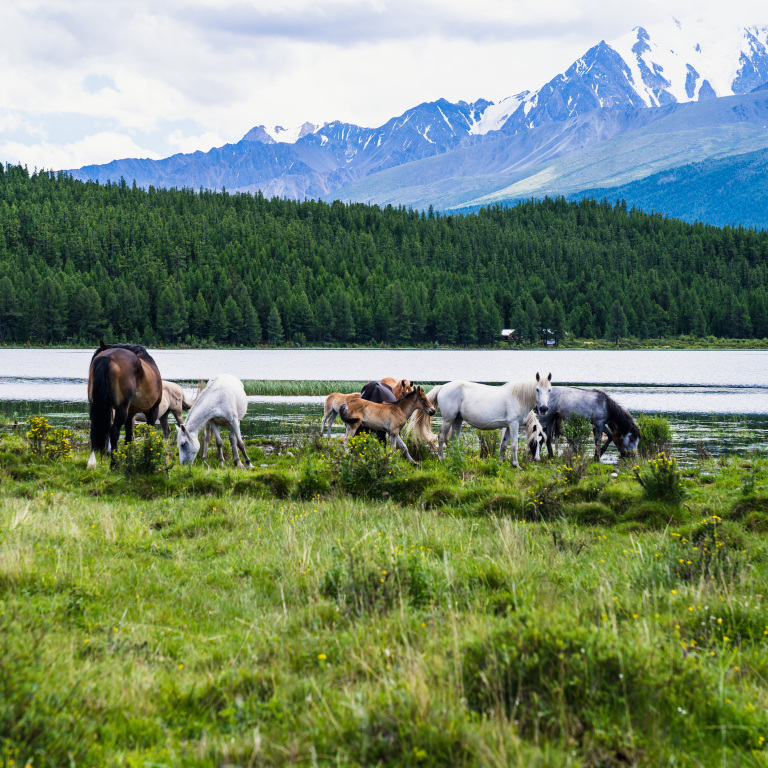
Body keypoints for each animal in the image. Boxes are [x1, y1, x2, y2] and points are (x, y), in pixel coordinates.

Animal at [408, 372, 552, 468]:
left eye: (550, 390)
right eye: (537, 389)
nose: (544, 408)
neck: (518, 397)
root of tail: (442, 387)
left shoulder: (508, 426)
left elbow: (504, 445)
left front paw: (502, 462)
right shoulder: (513, 424)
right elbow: (514, 445)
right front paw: (516, 465)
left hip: (457, 420)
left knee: (454, 440)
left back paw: (457, 458)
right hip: (448, 419)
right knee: (442, 437)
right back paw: (441, 458)